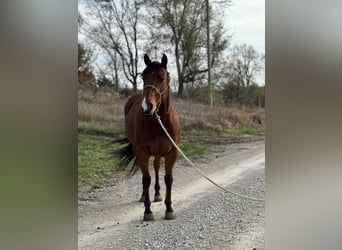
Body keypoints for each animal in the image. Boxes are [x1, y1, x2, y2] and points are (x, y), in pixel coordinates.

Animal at [117, 53, 182, 221]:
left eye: (161, 78)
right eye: (143, 77)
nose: (147, 107)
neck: (158, 121)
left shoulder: (172, 153)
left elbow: (168, 178)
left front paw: (169, 208)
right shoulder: (142, 152)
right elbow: (146, 179)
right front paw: (147, 211)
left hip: (158, 153)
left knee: (157, 167)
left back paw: (158, 193)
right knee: (145, 173)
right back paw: (143, 196)